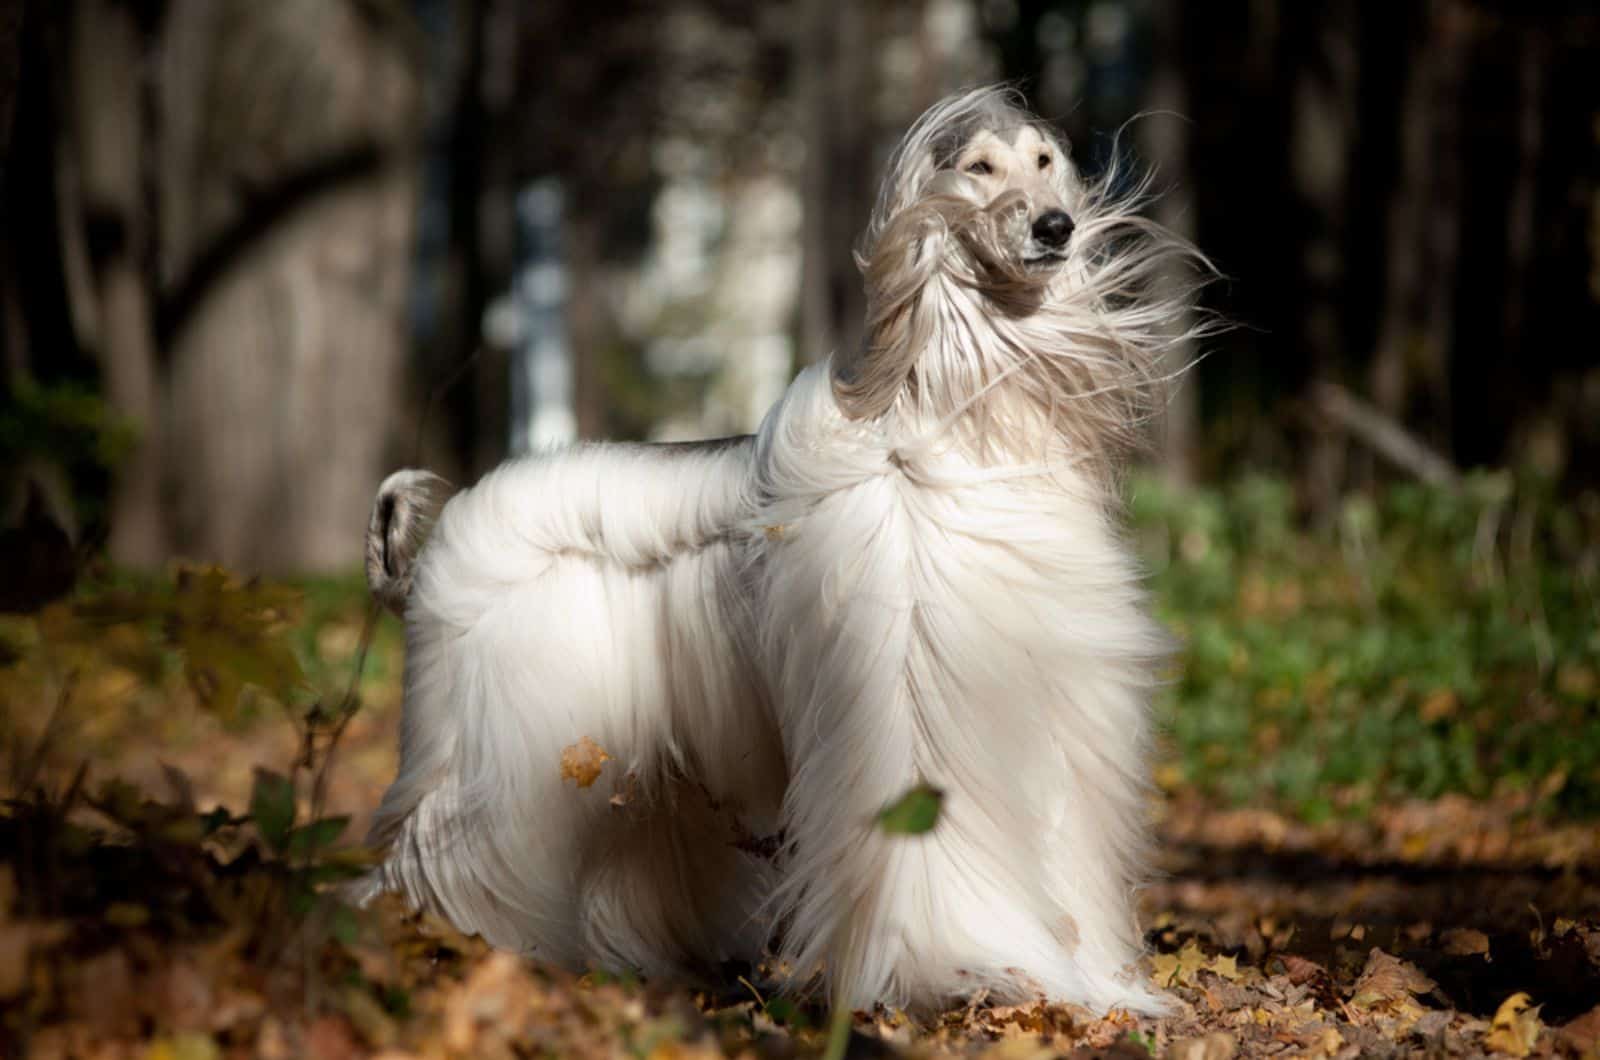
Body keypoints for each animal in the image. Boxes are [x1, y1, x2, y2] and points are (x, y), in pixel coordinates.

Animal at [363, 87, 1203, 1018]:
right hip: (500, 743)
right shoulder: (908, 691)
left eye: (1046, 162)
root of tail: (441, 538)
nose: (1056, 227)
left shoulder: (1047, 698)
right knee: (437, 846)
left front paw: (1091, 980)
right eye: (980, 168)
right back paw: (425, 946)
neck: (962, 421)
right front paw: (956, 967)